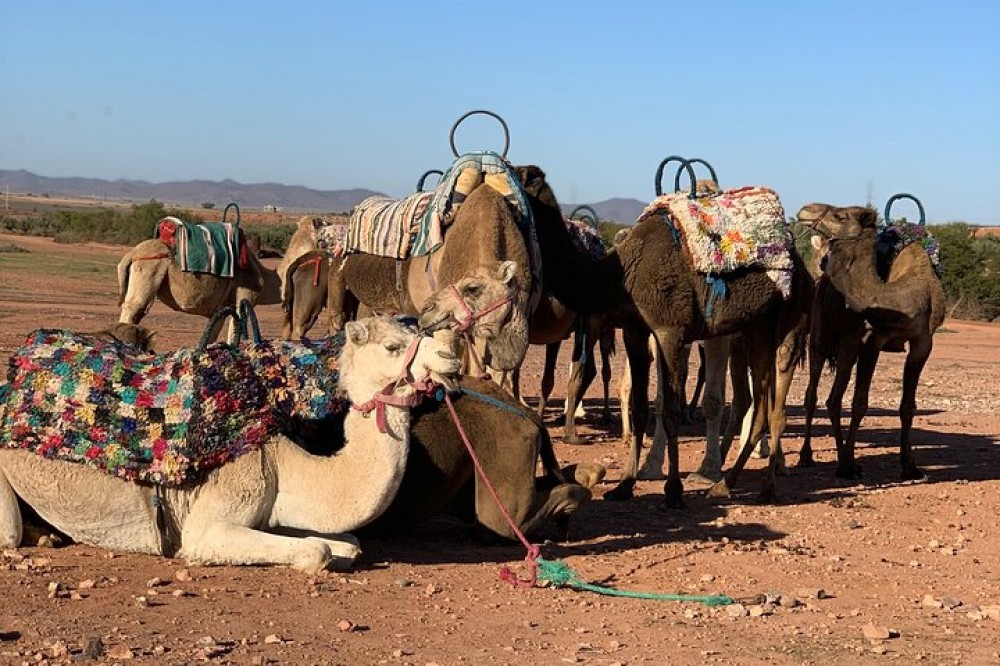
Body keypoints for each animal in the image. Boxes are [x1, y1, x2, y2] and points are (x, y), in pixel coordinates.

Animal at [0, 316, 460, 572]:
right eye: (393, 346)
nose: (451, 357)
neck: (279, 461)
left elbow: (348, 545)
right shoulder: (205, 526)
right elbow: (317, 551)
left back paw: (48, 534)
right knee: (8, 534)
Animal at [116, 232, 282, 342]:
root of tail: (131, 254)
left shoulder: (221, 307)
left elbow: (211, 336)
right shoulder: (245, 295)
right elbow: (234, 333)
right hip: (149, 266)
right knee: (134, 309)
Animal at [508, 165, 812, 504]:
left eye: (516, 177)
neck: (619, 273)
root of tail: (803, 268)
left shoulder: (669, 329)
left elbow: (669, 411)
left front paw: (673, 491)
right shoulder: (635, 331)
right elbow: (642, 408)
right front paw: (624, 485)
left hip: (790, 325)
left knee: (776, 409)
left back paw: (764, 486)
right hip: (754, 331)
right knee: (759, 406)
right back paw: (725, 484)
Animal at [796, 202, 944, 478]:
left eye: (840, 215)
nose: (805, 210)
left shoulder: (922, 342)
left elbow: (907, 406)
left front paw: (910, 466)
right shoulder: (872, 340)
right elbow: (859, 403)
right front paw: (847, 465)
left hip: (847, 344)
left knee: (834, 397)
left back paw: (844, 458)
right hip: (821, 335)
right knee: (812, 394)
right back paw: (808, 457)